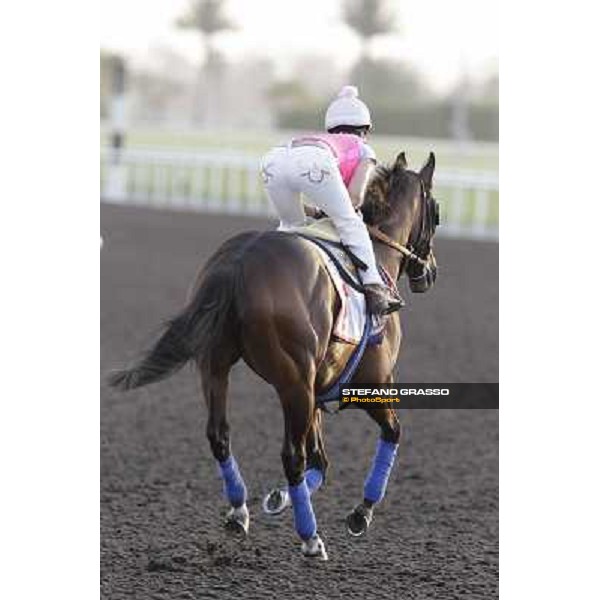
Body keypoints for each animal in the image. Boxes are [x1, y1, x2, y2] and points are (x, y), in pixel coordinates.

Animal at [108, 151, 438, 564]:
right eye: (436, 212)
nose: (430, 272)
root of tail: (239, 261)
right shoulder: (371, 385)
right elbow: (390, 433)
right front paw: (361, 512)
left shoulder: (317, 391)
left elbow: (321, 461)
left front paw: (279, 498)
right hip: (292, 382)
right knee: (291, 456)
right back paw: (310, 539)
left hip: (217, 366)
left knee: (219, 435)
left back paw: (239, 511)